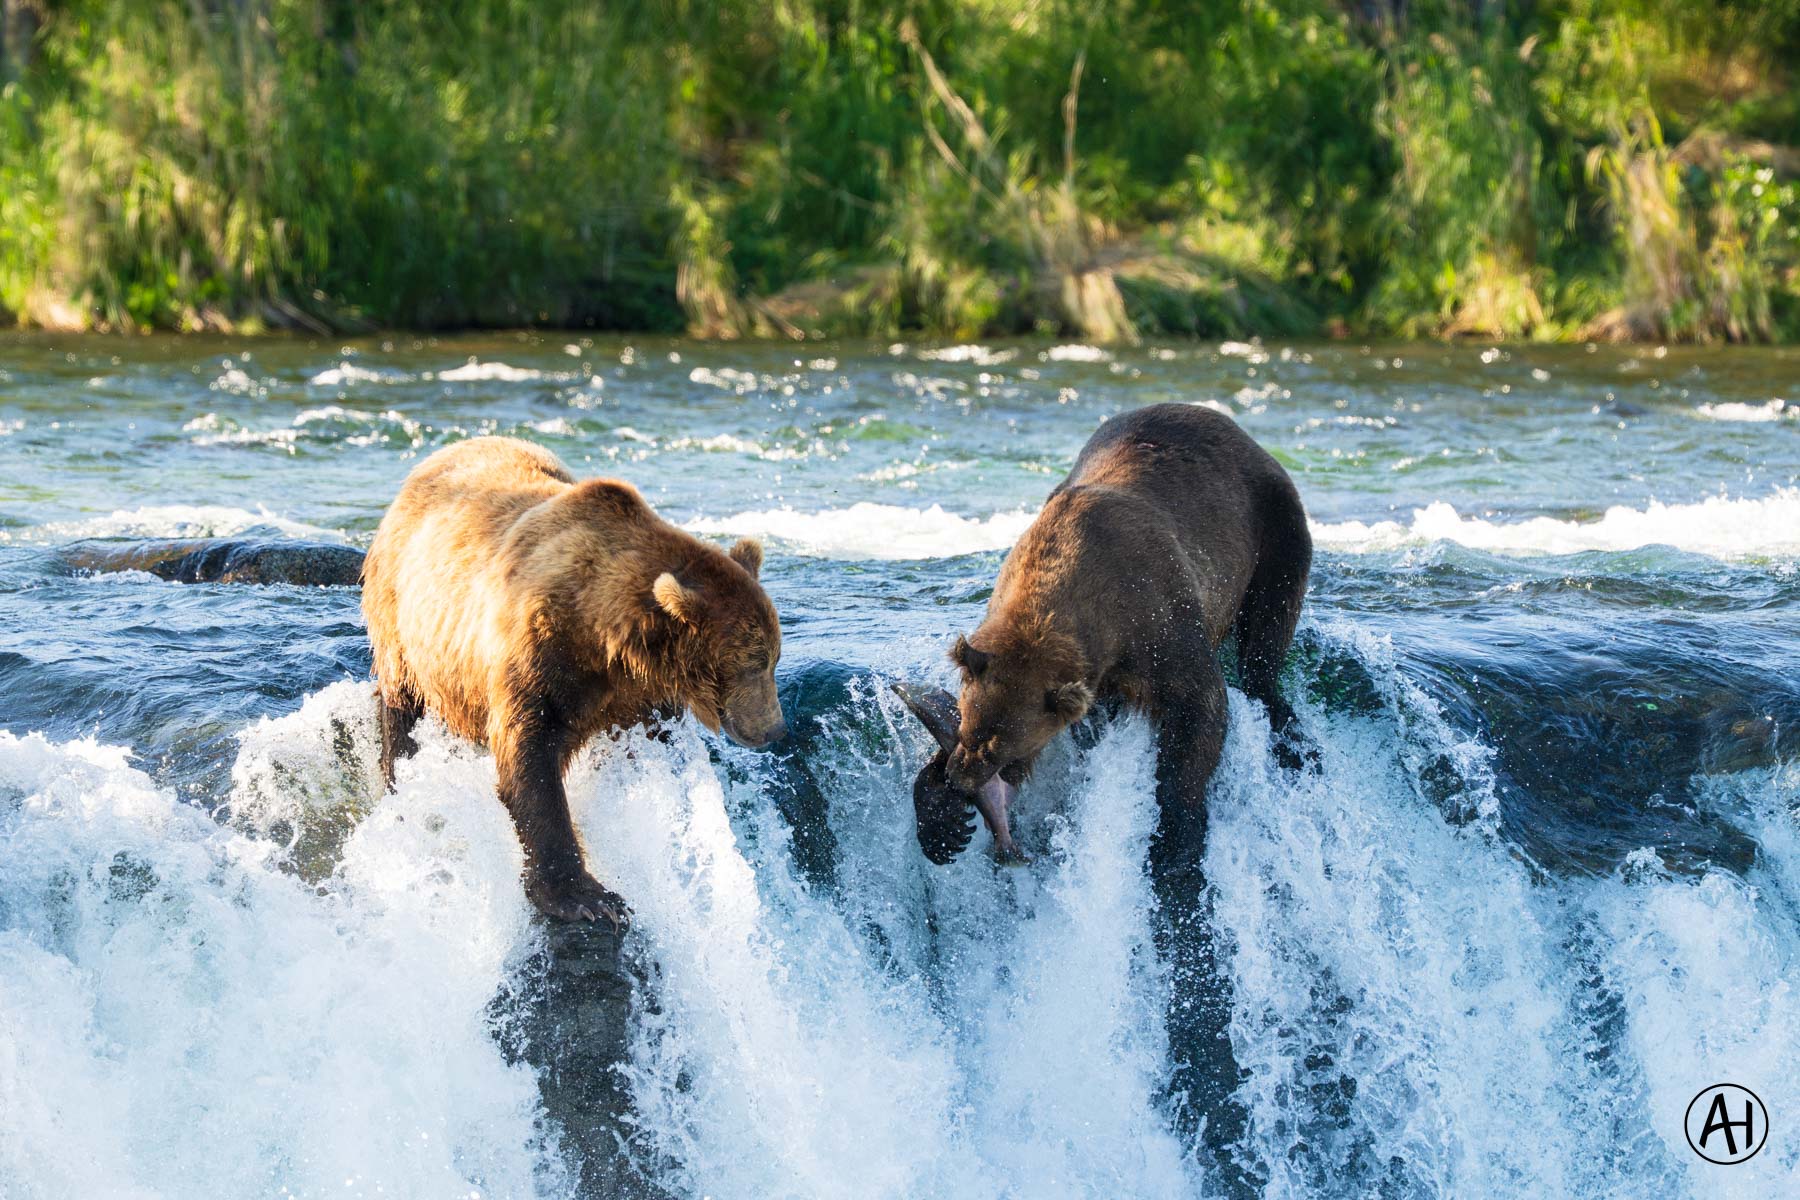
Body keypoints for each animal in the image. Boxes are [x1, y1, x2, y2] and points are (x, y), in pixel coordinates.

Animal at [361, 436, 786, 925]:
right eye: (753, 663)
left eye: (774, 658)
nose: (774, 728)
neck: (604, 636)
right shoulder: (539, 655)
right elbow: (529, 761)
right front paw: (584, 896)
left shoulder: (639, 695)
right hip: (404, 620)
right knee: (401, 703)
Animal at [897, 402, 1311, 882]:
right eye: (968, 727)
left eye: (1000, 747)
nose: (962, 777)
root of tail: (1232, 425)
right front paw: (941, 821)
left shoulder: (1158, 615)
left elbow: (1200, 707)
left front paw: (1175, 844)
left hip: (1272, 522)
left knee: (1270, 623)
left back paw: (1286, 727)